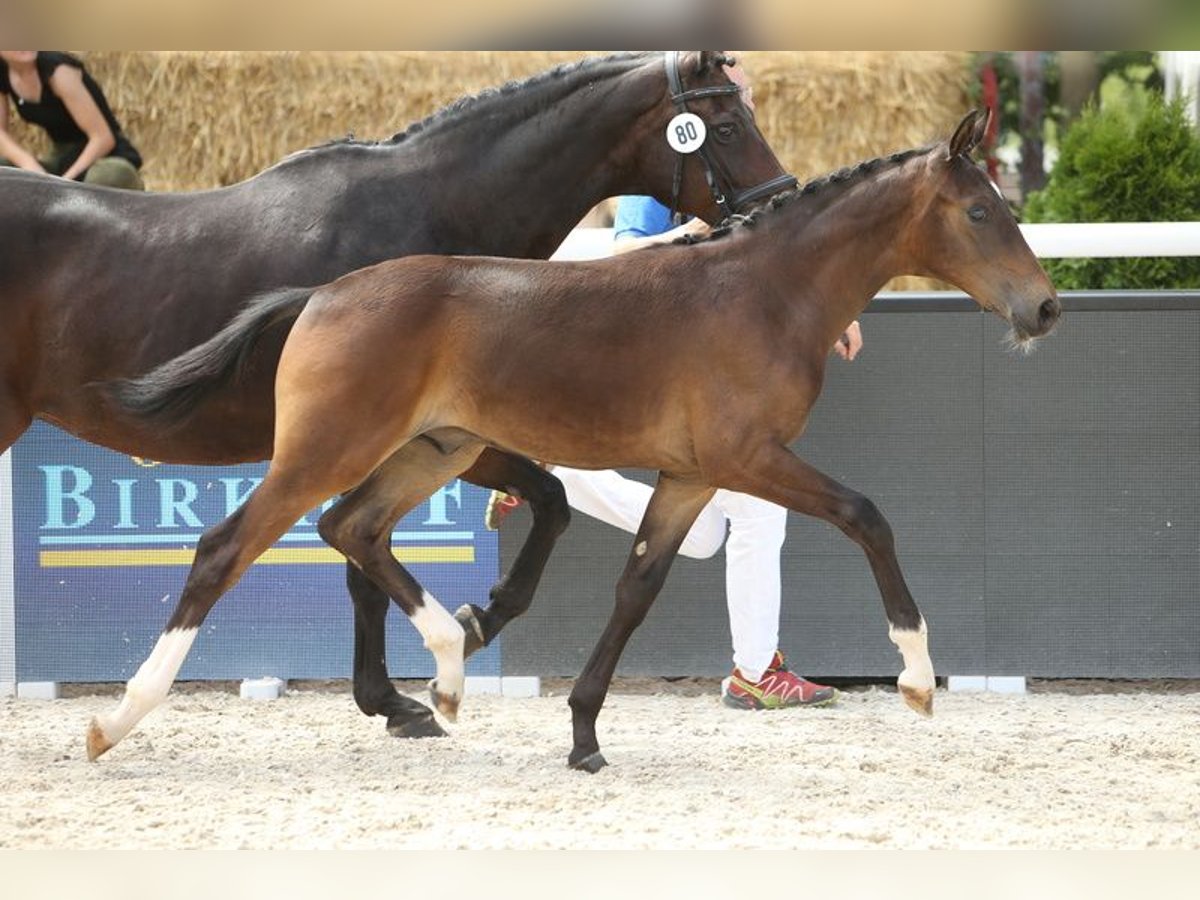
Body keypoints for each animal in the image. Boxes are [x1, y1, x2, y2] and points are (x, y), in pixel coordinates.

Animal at [2, 51, 796, 739]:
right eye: (727, 125)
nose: (780, 204)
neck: (423, 209)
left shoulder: (442, 435)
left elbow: (538, 503)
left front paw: (459, 638)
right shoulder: (405, 437)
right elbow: (378, 559)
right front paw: (411, 686)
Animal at [91, 105, 1060, 768]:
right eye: (980, 213)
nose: (1045, 308)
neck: (763, 291)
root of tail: (321, 294)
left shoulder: (689, 476)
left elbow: (637, 588)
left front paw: (584, 732)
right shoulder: (748, 457)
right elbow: (867, 515)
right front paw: (918, 678)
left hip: (432, 450)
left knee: (351, 529)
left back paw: (449, 669)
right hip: (326, 451)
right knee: (226, 548)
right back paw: (117, 718)